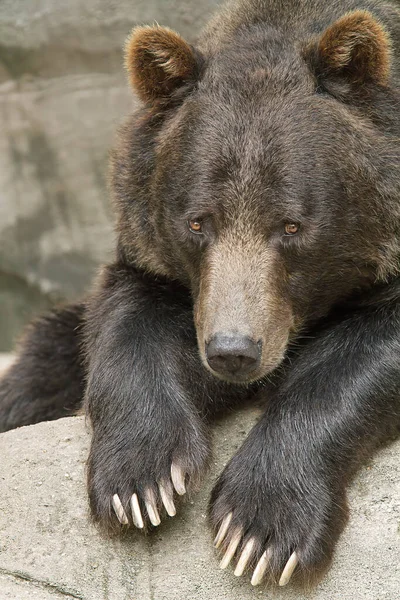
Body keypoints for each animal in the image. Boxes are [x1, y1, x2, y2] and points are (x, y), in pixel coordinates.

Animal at [0, 0, 400, 592]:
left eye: (292, 225)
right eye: (197, 222)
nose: (233, 350)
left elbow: (354, 364)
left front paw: (259, 529)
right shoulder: (157, 259)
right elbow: (129, 323)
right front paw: (141, 481)